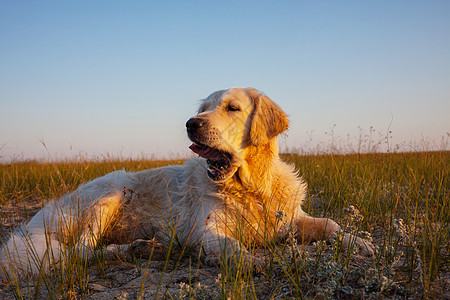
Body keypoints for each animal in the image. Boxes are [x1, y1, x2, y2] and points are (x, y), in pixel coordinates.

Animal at [0, 86, 372, 278]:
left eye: (232, 108)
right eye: (203, 107)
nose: (192, 123)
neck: (252, 187)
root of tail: (34, 220)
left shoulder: (292, 218)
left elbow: (331, 224)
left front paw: (360, 243)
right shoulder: (204, 228)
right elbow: (229, 245)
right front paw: (244, 262)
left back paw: (142, 247)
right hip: (110, 192)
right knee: (80, 251)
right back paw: (140, 249)